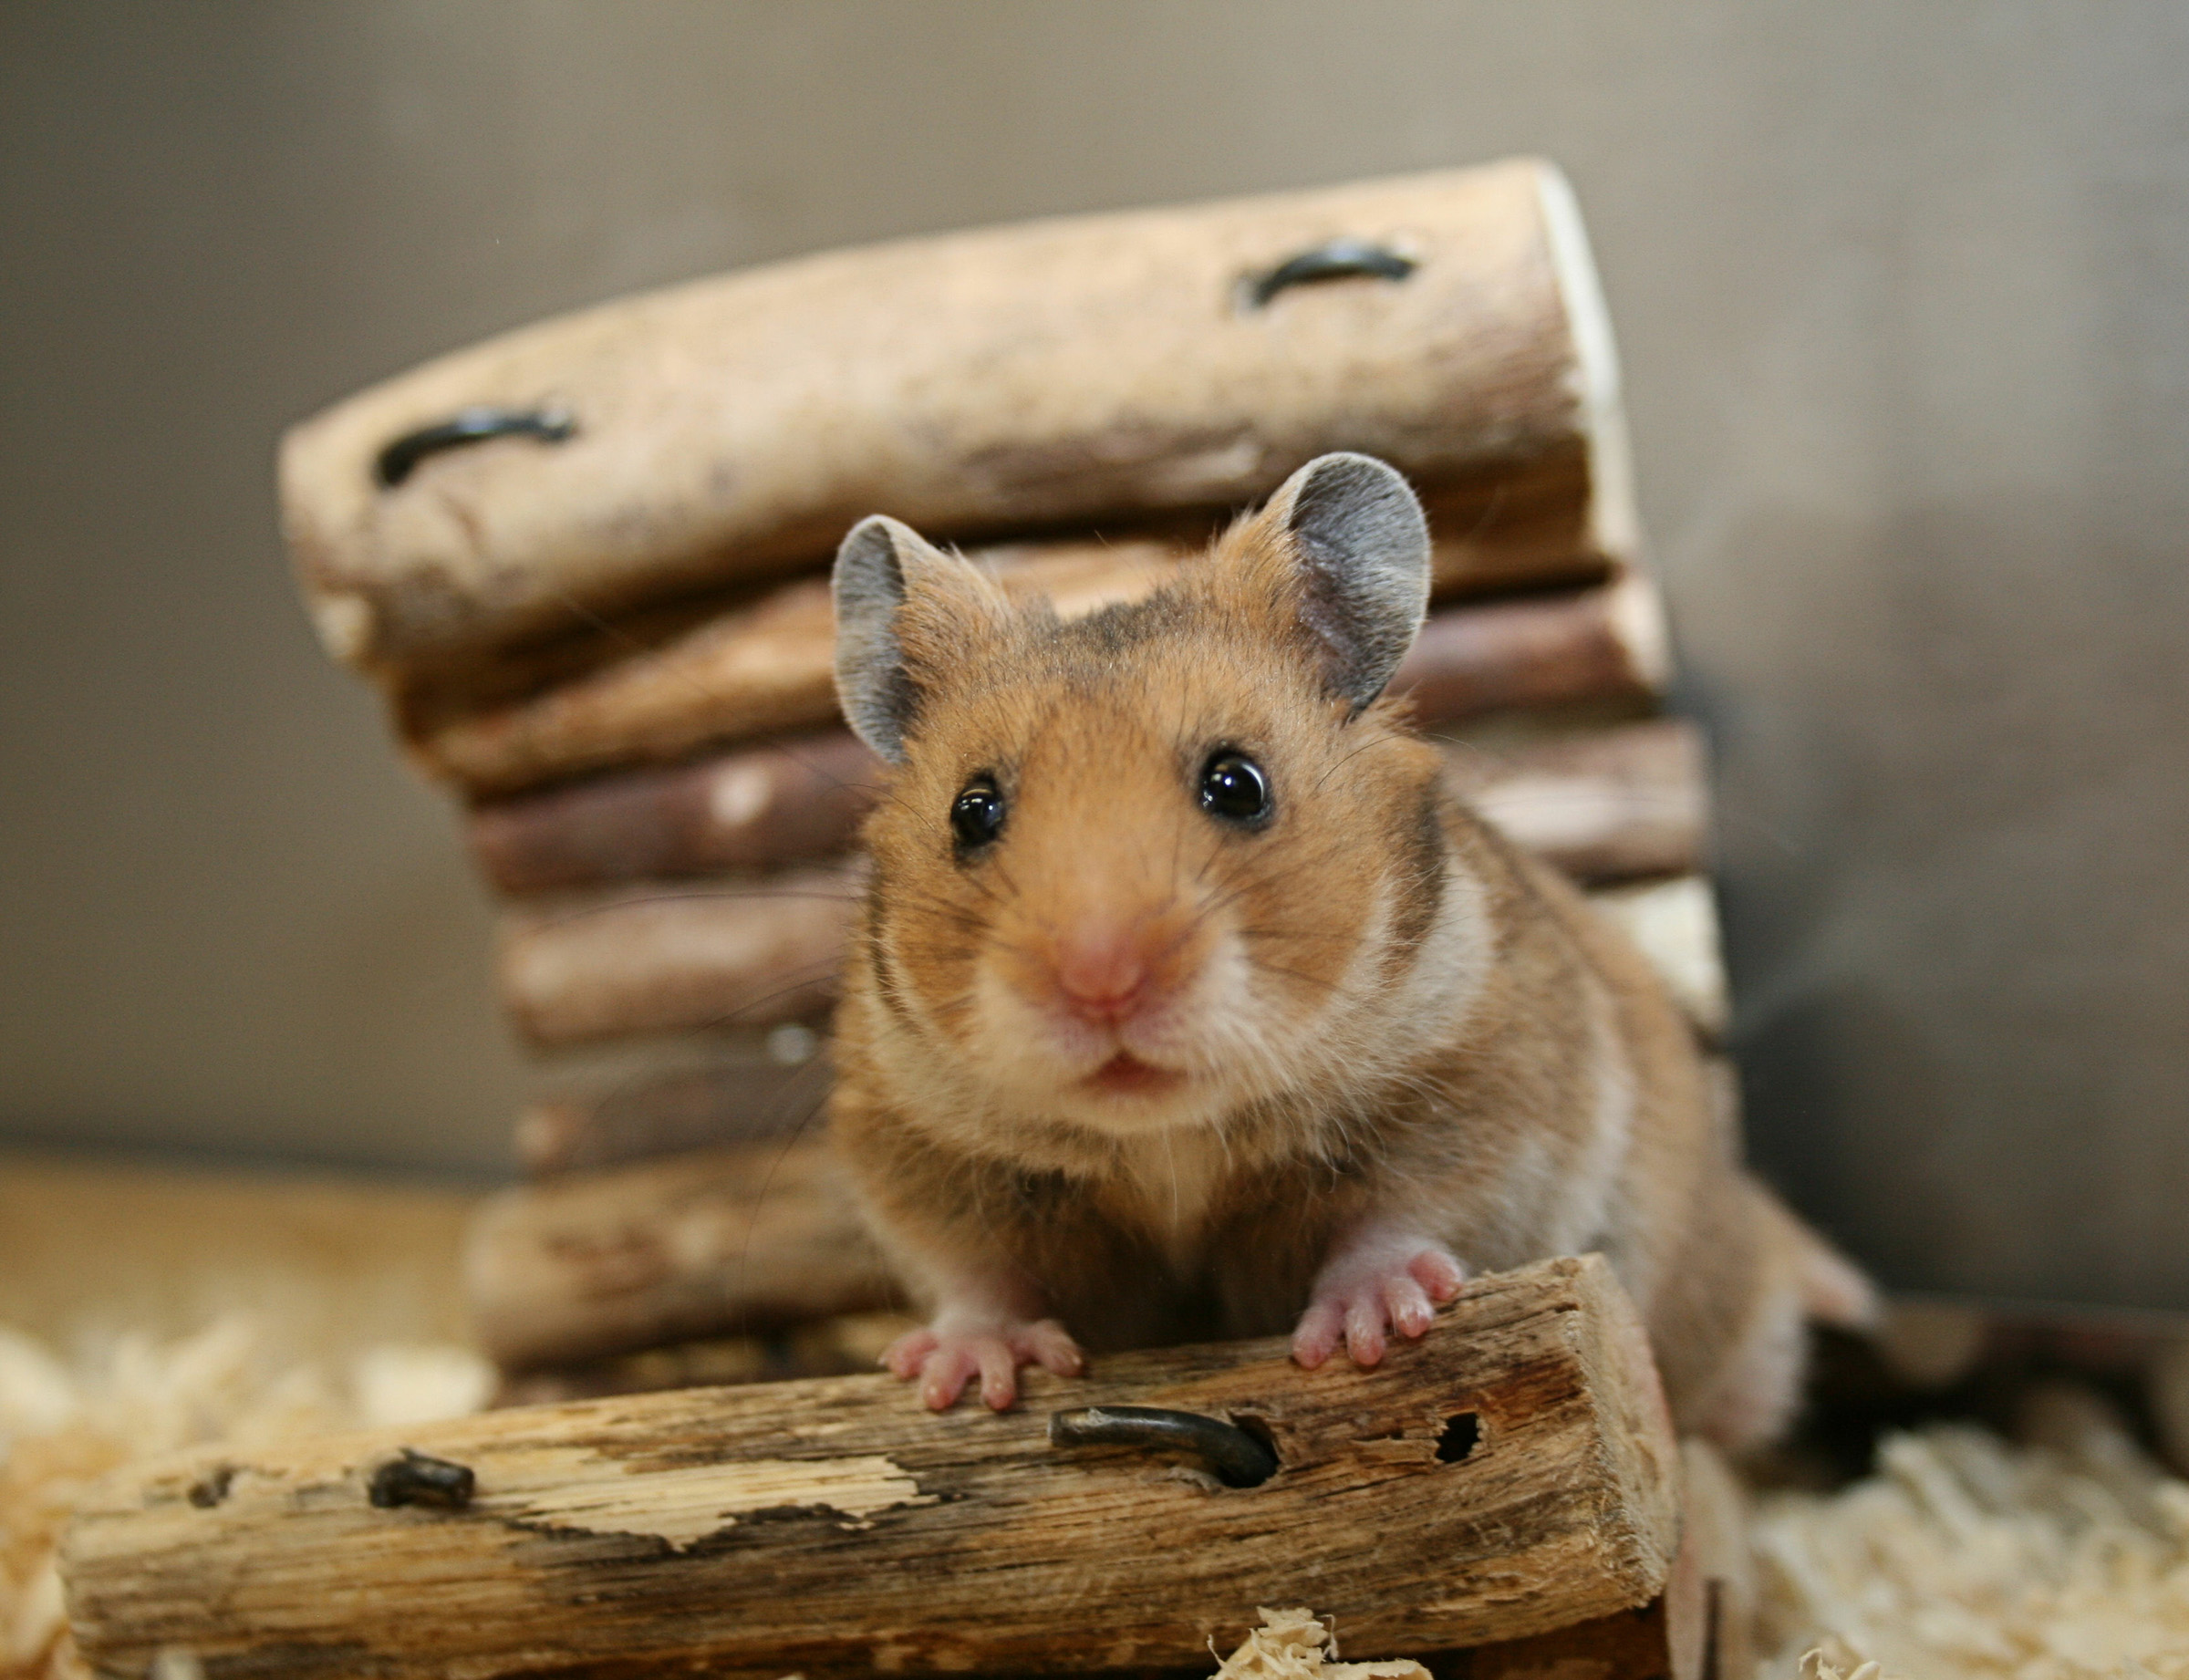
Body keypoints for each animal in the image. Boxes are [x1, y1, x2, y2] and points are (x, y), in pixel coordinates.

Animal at [823, 452, 1864, 1452]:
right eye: (973, 811)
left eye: (1237, 785)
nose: (1100, 983)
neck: (1168, 1140)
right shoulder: (918, 1148)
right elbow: (978, 1275)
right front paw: (962, 1377)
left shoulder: (1483, 1094)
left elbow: (1402, 1215)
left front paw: (1371, 1332)